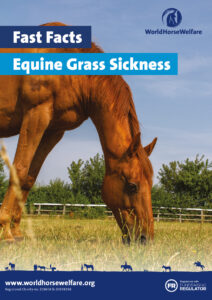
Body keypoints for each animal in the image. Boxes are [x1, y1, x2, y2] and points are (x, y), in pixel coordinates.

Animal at [0, 21, 156, 244]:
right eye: (132, 186)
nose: (145, 238)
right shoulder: (36, 114)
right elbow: (19, 169)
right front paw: (5, 230)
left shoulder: (53, 130)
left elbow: (29, 177)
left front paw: (17, 231)